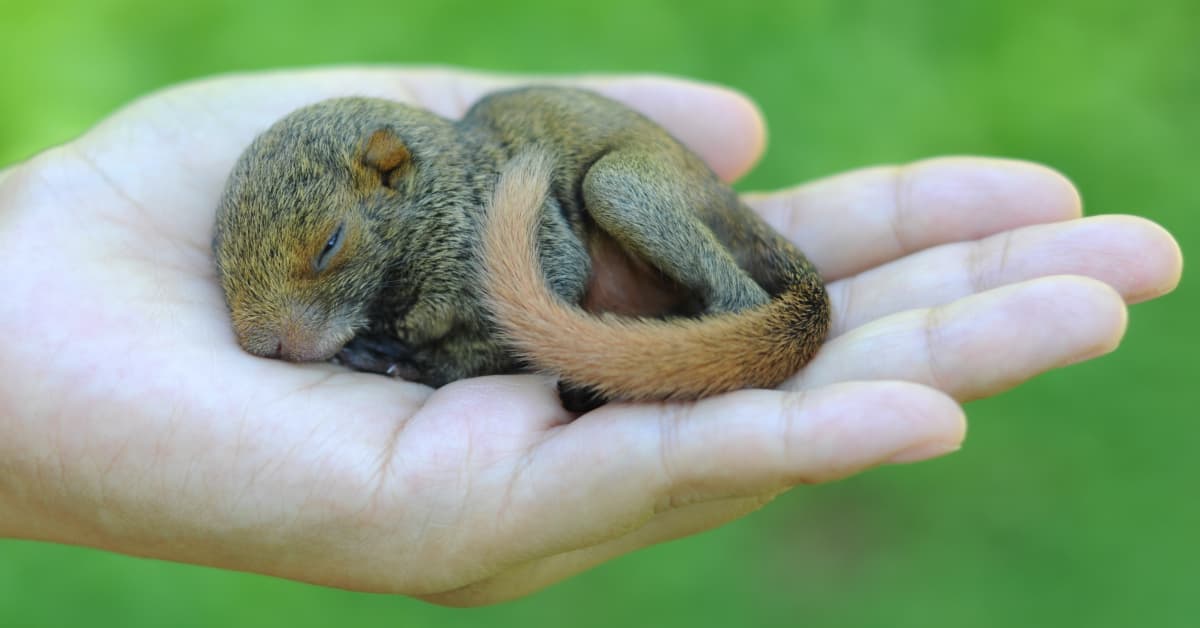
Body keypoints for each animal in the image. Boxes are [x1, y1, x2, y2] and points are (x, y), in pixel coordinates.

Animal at [216, 85, 830, 410]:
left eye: (330, 244)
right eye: (221, 263)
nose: (267, 345)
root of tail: (725, 200)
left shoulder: (495, 224)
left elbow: (542, 296)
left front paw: (418, 363)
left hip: (620, 187)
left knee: (741, 298)